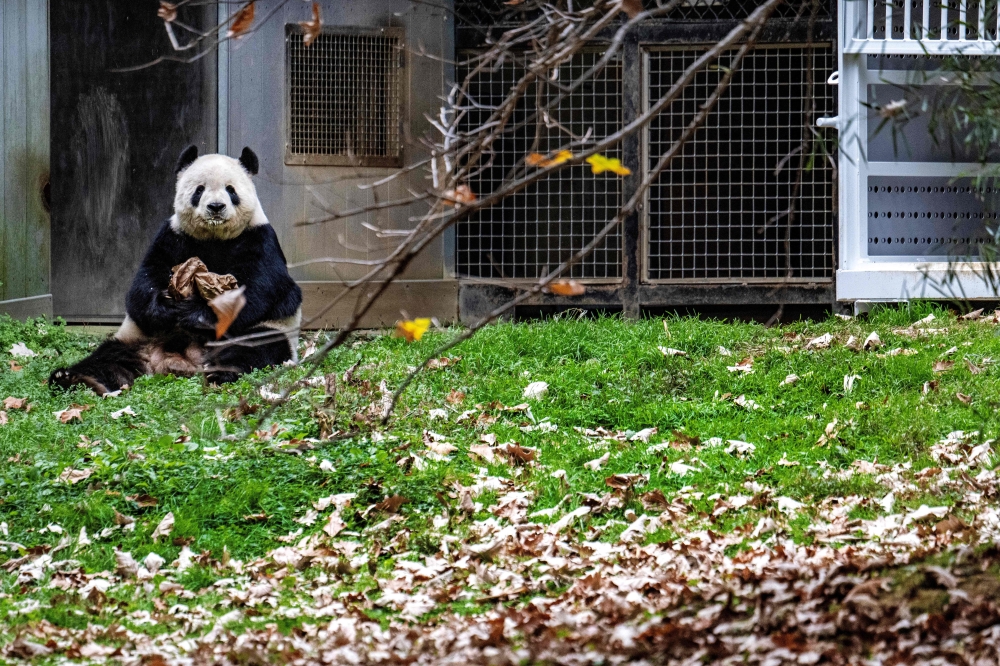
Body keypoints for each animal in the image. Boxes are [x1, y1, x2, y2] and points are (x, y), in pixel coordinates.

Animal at [50, 145, 300, 394]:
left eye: (231, 190)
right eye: (199, 190)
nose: (216, 207)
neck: (214, 238)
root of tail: (179, 362)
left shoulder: (260, 239)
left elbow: (258, 290)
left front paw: (196, 313)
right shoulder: (172, 236)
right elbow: (144, 283)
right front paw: (165, 306)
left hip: (268, 330)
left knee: (253, 348)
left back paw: (220, 374)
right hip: (135, 338)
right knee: (108, 359)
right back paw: (69, 377)